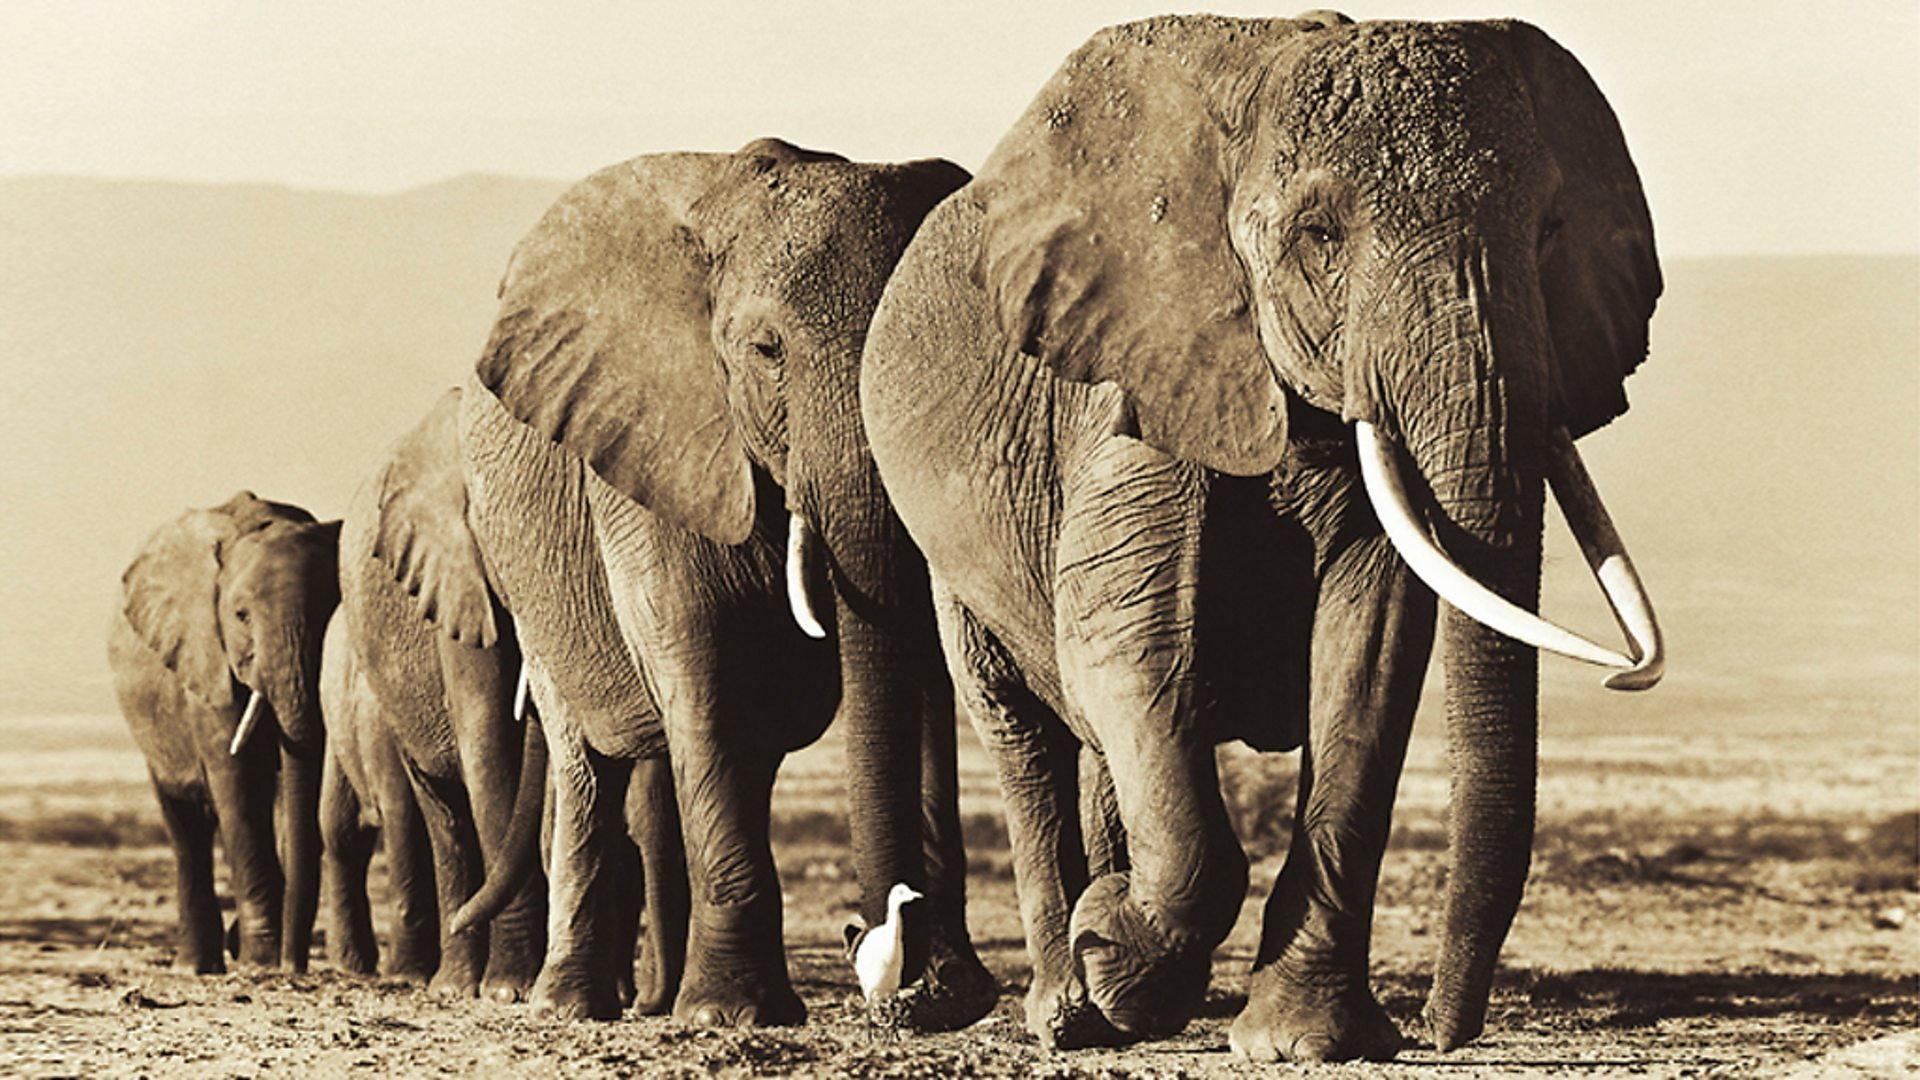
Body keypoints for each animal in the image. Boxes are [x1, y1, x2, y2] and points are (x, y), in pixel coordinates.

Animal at [108, 492, 340, 973]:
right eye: (241, 615)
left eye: (334, 609)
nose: (293, 966)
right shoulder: (204, 655)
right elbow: (239, 780)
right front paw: (260, 957)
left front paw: (256, 951)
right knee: (186, 825)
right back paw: (195, 966)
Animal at [443, 138, 997, 1028]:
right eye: (766, 351)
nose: (905, 969)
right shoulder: (654, 443)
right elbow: (700, 674)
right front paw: (727, 1015)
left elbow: (917, 672)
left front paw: (948, 994)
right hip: (529, 579)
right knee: (586, 761)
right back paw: (570, 1005)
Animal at [861, 14, 1665, 1062]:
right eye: (1320, 237)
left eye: (1550, 234)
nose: (1441, 1033)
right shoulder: (1133, 381)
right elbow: (1128, 650)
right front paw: (1107, 940)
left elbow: (1366, 660)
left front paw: (1300, 1041)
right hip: (946, 549)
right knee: (1022, 724)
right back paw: (1071, 1009)